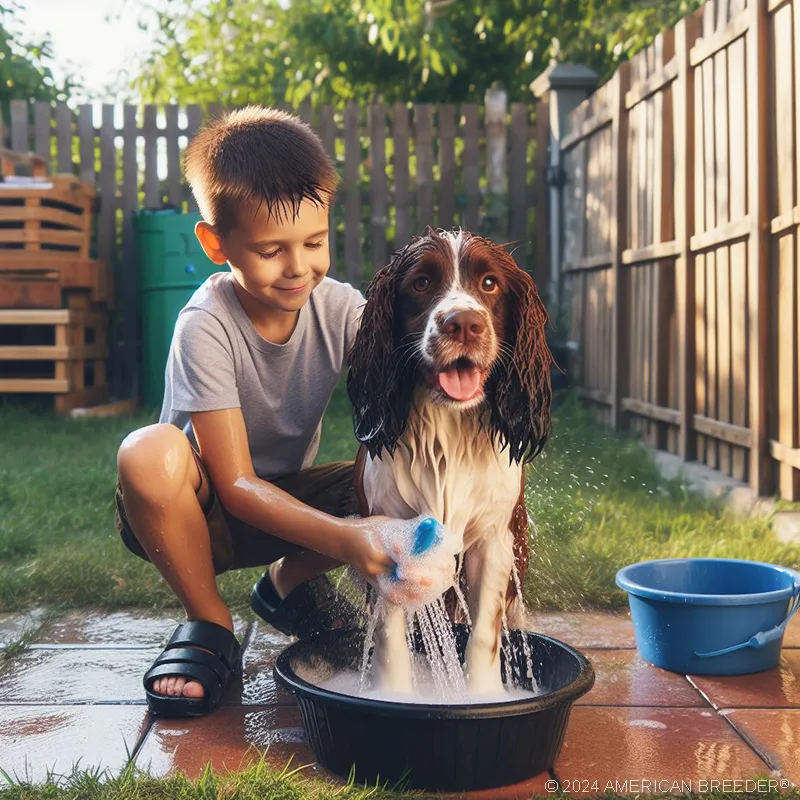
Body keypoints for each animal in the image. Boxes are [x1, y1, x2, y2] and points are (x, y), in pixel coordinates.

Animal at [346, 227, 552, 692]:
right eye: (421, 283)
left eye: (490, 283)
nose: (463, 323)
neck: (447, 432)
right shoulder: (390, 537)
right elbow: (392, 641)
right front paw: (396, 696)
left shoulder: (494, 542)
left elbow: (485, 634)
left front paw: (485, 696)